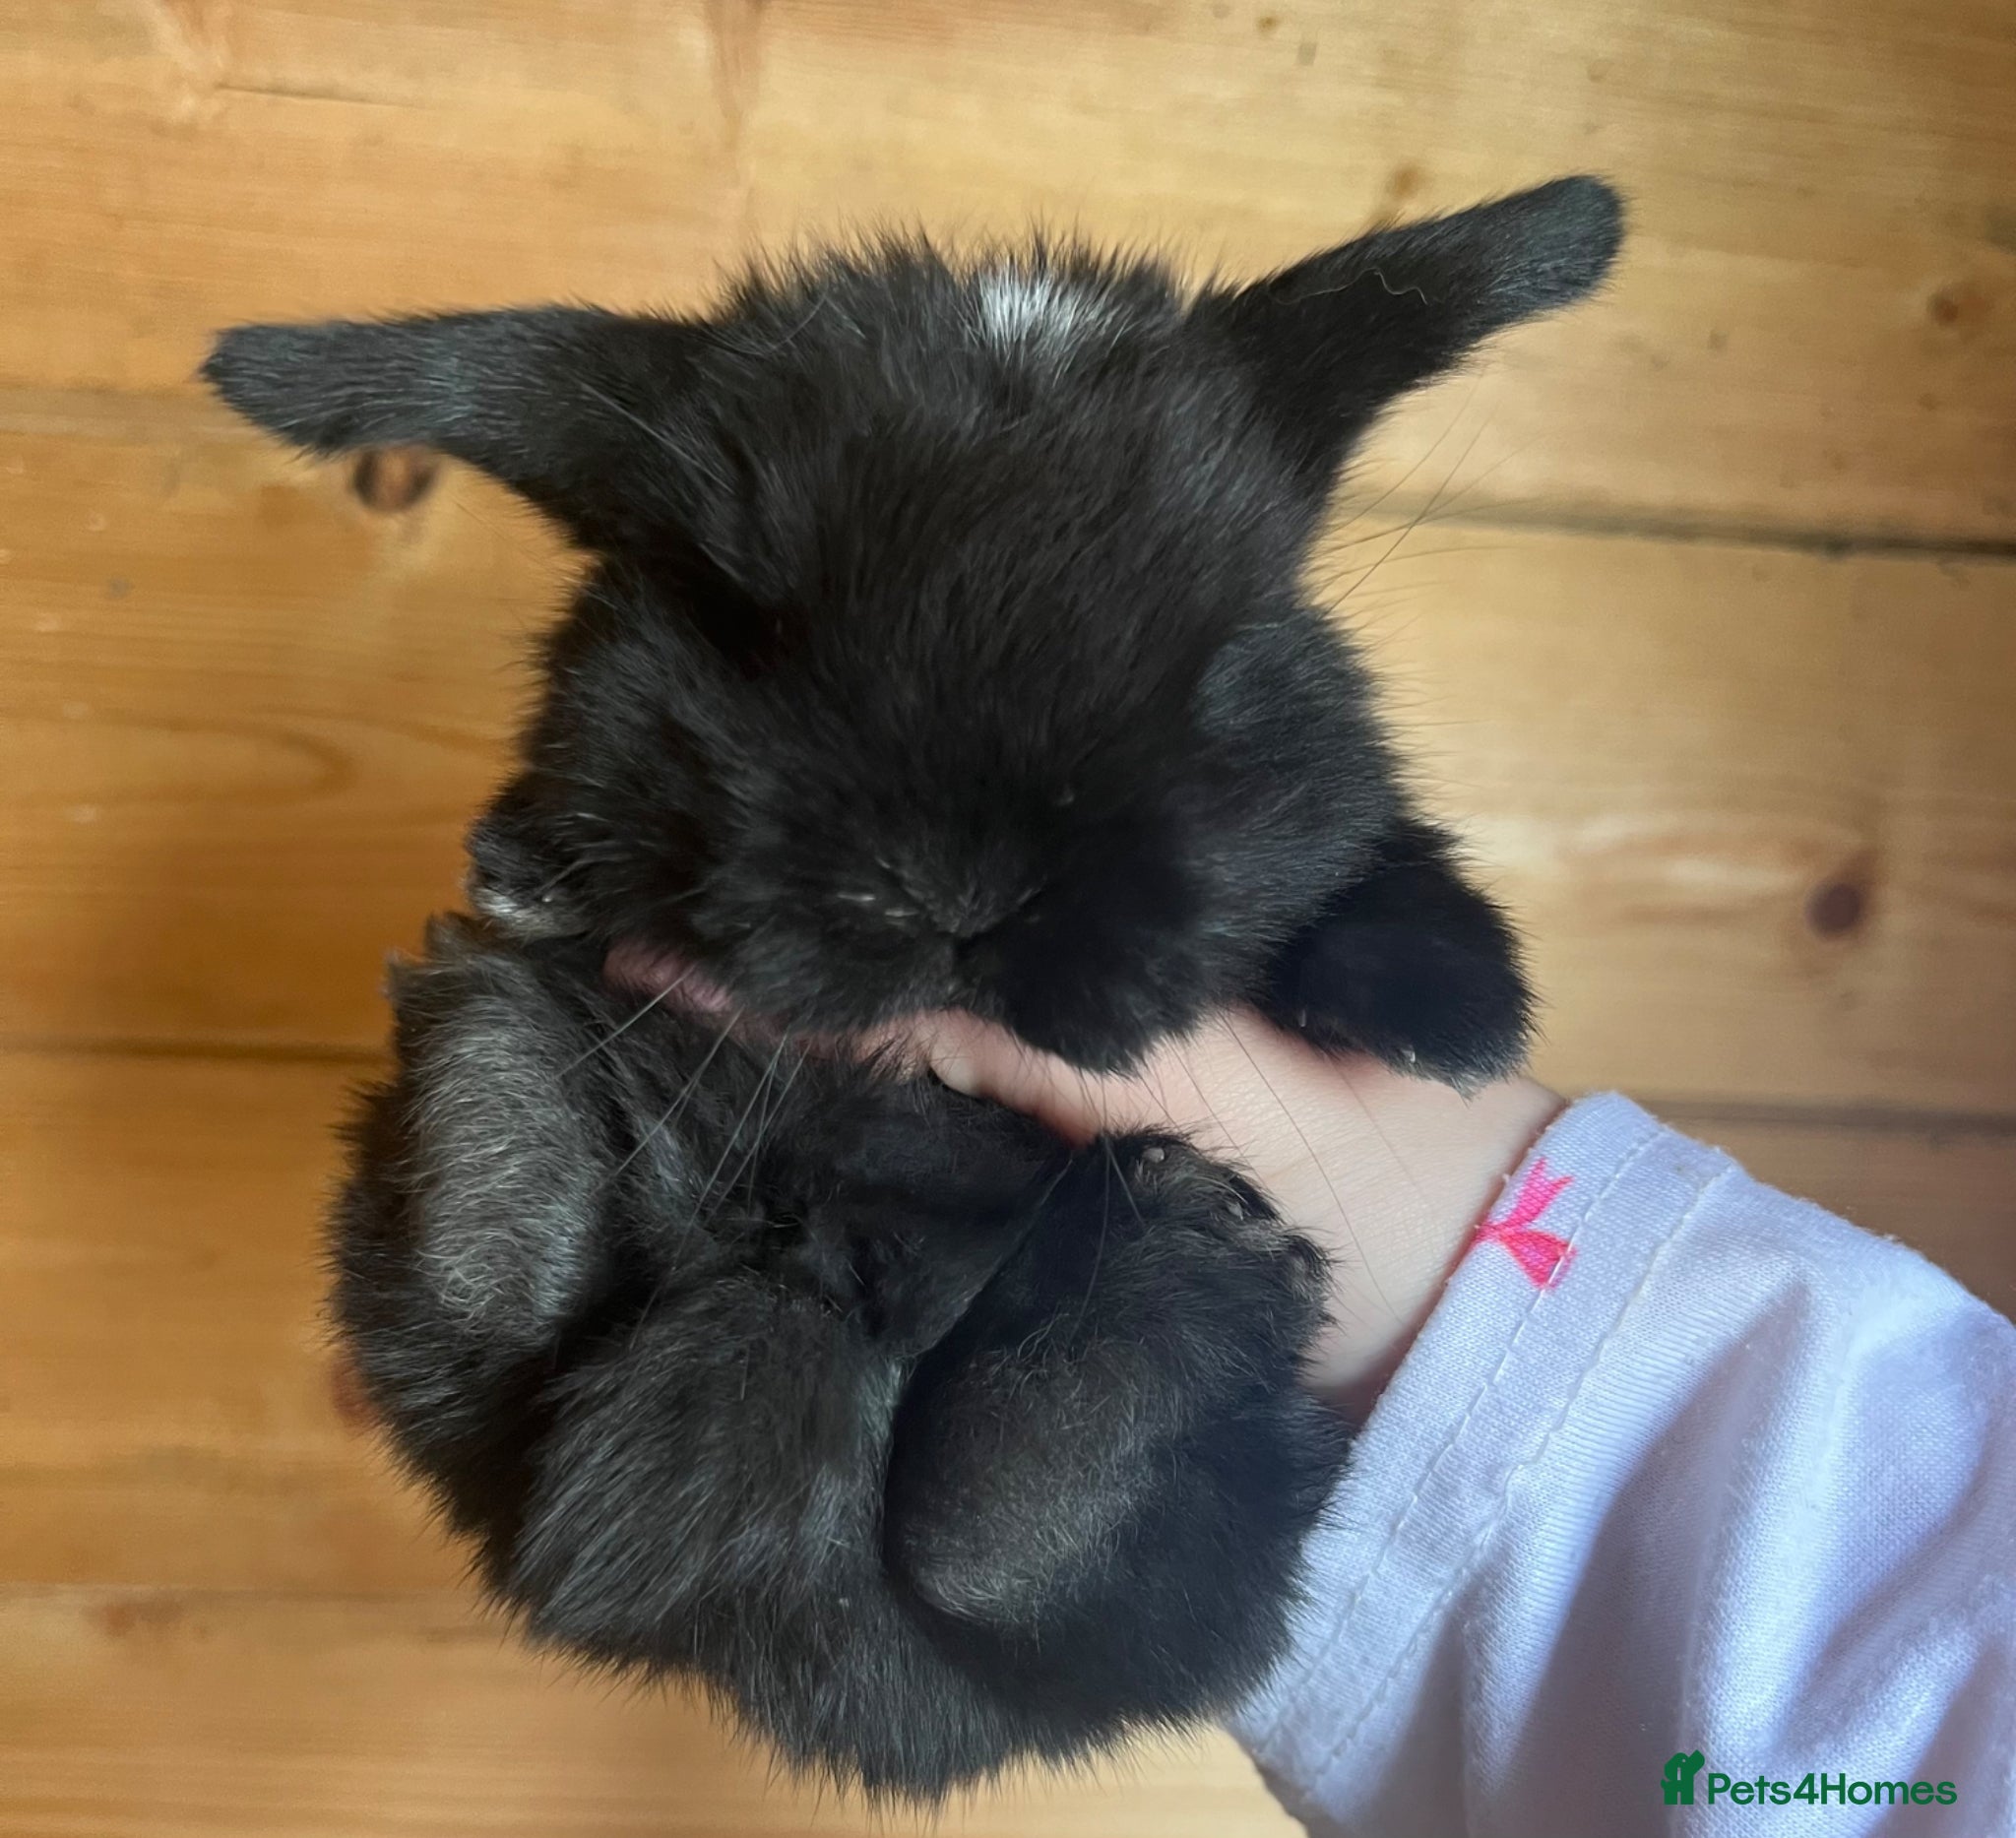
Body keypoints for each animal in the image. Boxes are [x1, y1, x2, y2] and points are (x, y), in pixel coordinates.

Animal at [205, 175, 1622, 1798]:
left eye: (1221, 646)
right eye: (742, 621)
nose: (958, 884)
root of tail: (809, 1310)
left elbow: (1378, 854)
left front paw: (1457, 1014)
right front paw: (533, 868)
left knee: (1000, 1548)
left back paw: (1192, 1247)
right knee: (515, 1316)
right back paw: (499, 1095)